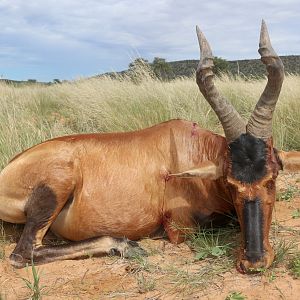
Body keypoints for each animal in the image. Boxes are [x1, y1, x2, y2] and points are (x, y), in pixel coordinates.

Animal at [0, 19, 298, 274]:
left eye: (272, 178)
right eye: (229, 182)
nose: (254, 262)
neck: (191, 147)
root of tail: (9, 168)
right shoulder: (180, 226)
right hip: (56, 187)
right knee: (23, 253)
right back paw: (124, 245)